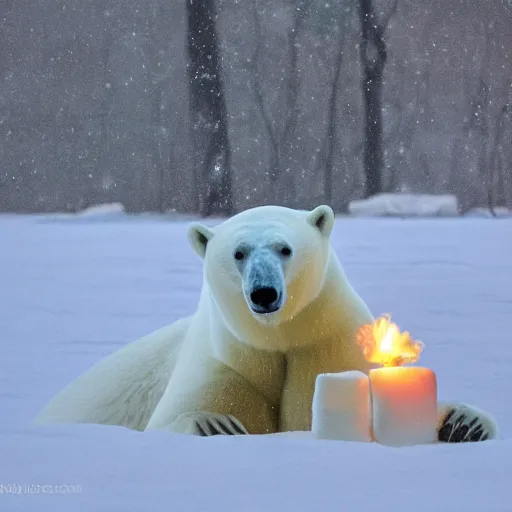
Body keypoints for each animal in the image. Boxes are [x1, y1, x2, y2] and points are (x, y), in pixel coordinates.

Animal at [36, 206, 500, 442]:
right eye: (239, 253)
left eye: (285, 248)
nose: (264, 293)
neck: (279, 339)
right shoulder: (226, 364)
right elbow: (171, 419)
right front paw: (216, 423)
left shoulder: (331, 349)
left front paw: (463, 423)